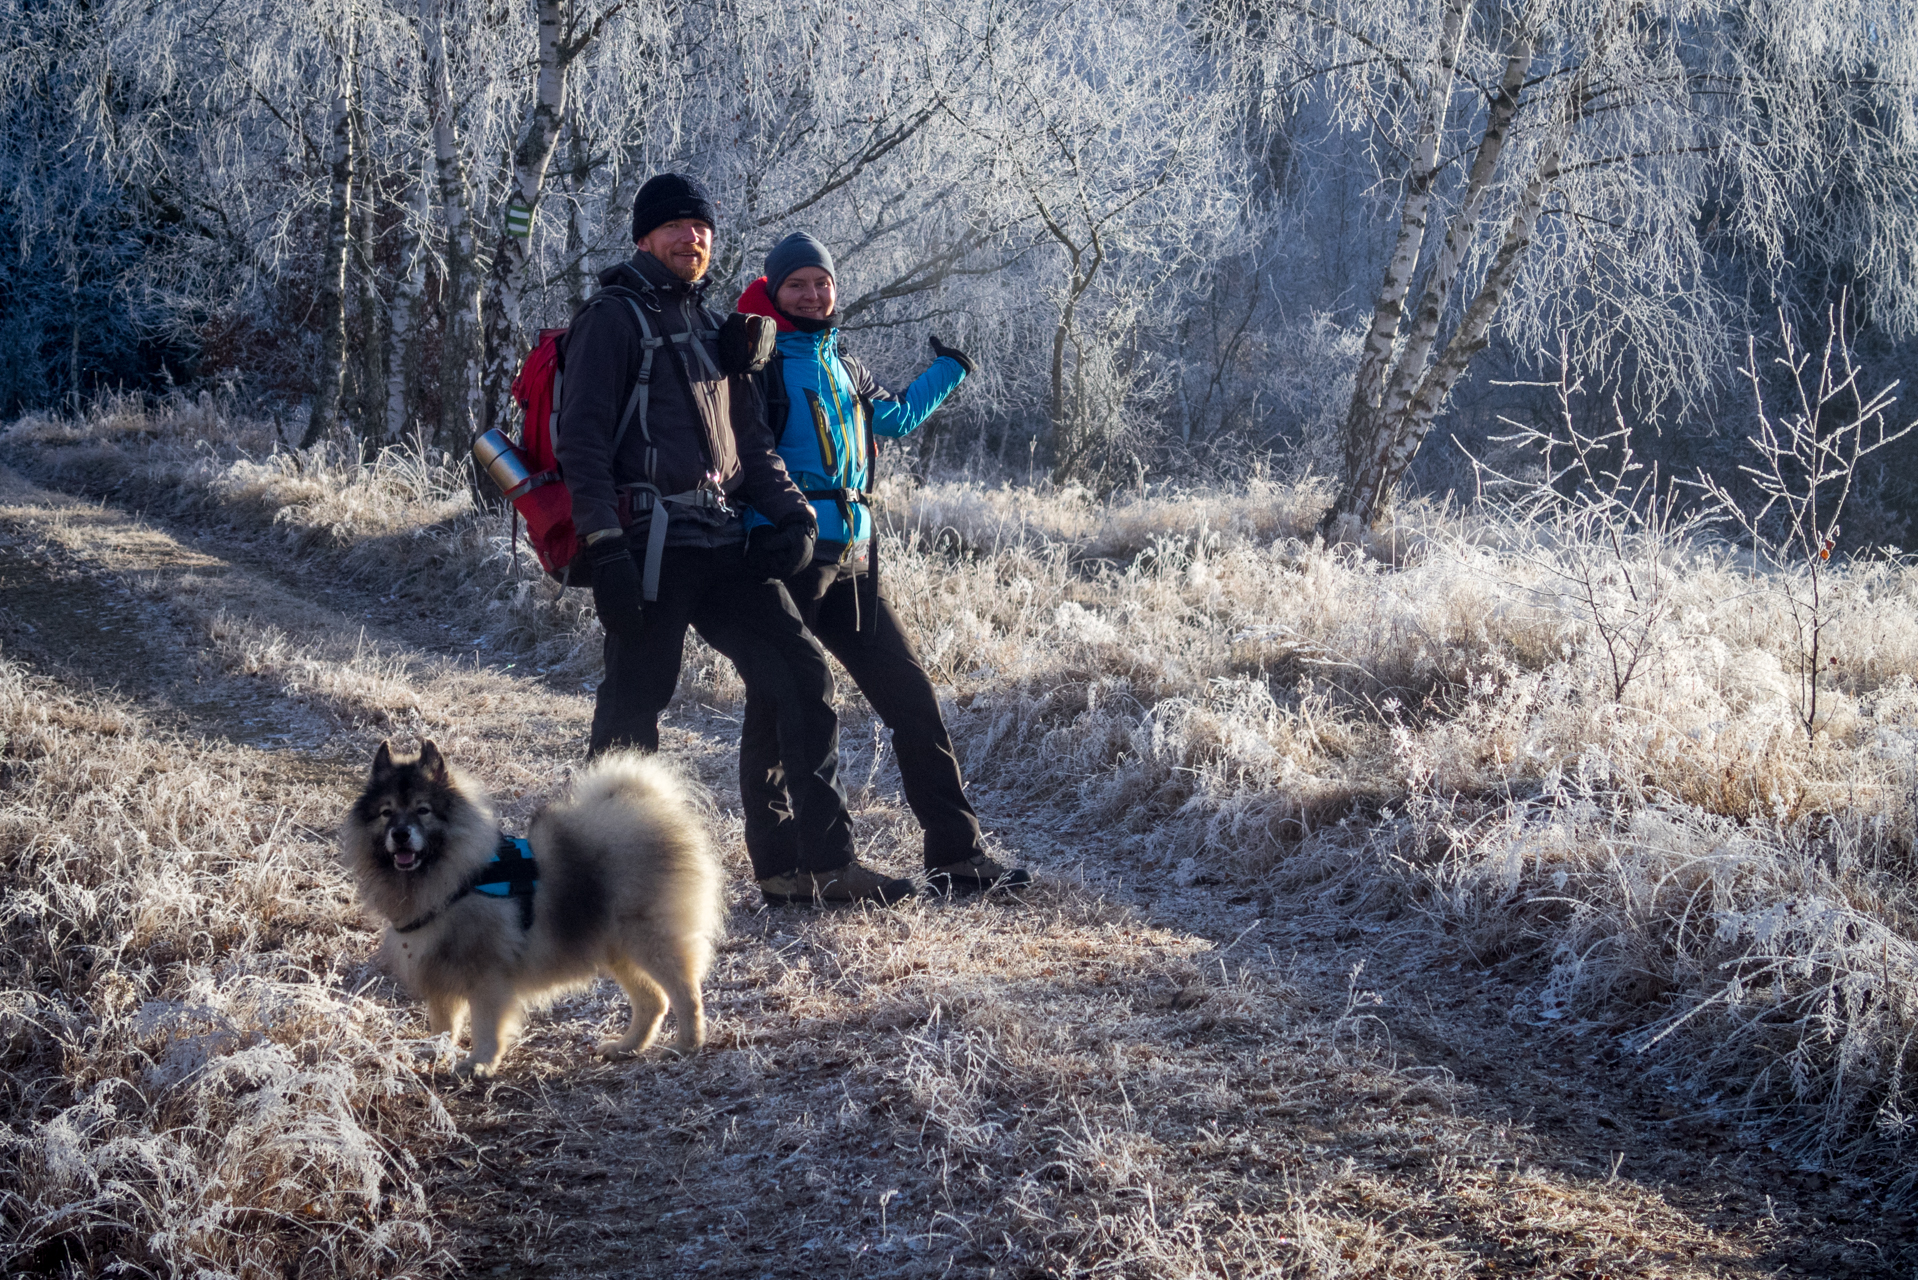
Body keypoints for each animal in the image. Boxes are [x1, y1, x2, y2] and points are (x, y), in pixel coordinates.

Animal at [341, 740, 721, 1082]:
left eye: (423, 810)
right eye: (387, 812)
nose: (401, 834)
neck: (456, 879)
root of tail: (650, 808)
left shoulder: (487, 976)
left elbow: (484, 1026)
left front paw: (479, 1064)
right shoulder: (439, 975)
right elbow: (443, 1024)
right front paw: (437, 1052)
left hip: (649, 941)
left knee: (685, 994)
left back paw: (685, 1045)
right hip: (619, 950)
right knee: (653, 1001)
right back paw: (626, 1047)